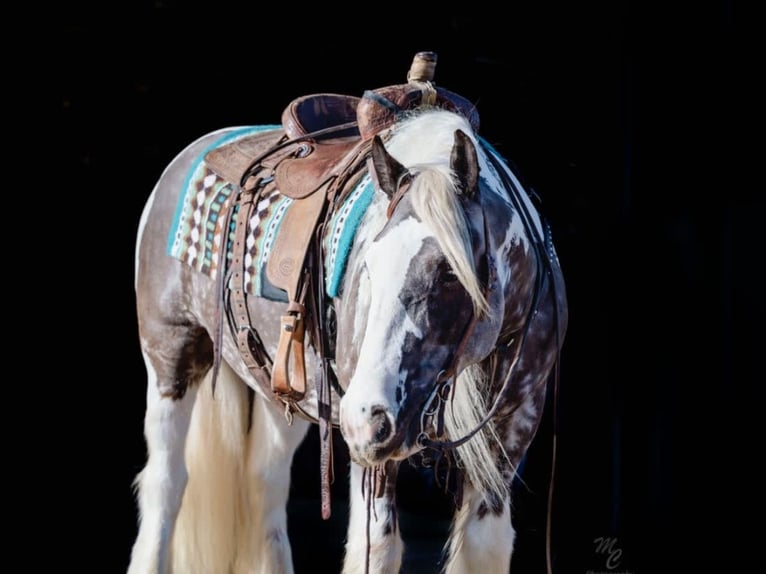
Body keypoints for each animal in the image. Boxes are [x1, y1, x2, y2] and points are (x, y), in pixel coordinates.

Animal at [129, 63, 568, 574]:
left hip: (285, 391)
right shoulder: (375, 454)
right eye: (367, 267)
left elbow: (485, 547)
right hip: (170, 356)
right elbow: (375, 549)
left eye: (448, 274)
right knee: (166, 482)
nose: (365, 421)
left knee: (265, 483)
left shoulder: (512, 429)